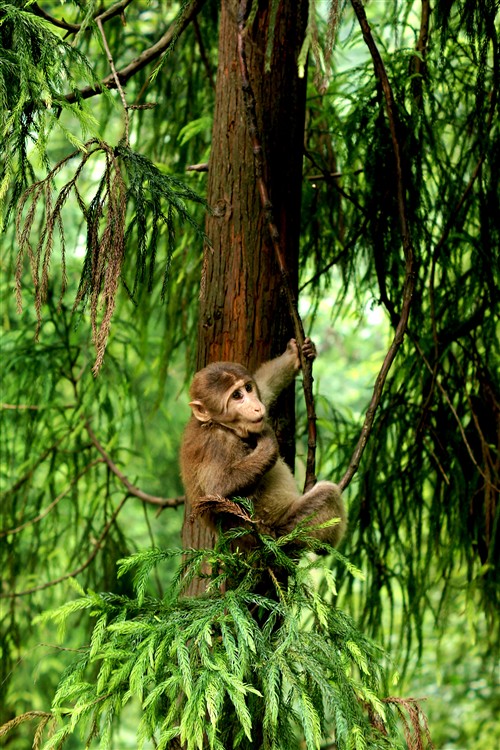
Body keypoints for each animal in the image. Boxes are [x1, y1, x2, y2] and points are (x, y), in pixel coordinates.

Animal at [181, 338, 348, 548]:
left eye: (248, 388)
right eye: (236, 396)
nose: (256, 407)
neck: (218, 424)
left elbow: (265, 386)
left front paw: (296, 354)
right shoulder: (216, 442)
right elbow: (217, 490)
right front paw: (269, 445)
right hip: (287, 532)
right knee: (327, 493)